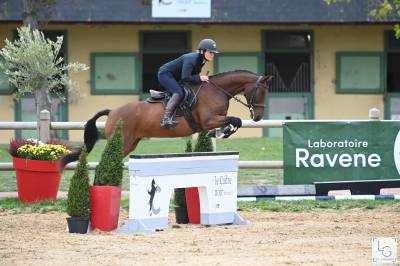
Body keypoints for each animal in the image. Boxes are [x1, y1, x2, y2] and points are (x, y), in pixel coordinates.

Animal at [61, 69, 274, 167]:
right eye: (262, 92)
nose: (258, 117)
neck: (216, 90)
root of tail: (112, 111)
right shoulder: (208, 121)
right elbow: (235, 120)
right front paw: (224, 131)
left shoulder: (214, 120)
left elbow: (234, 121)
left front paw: (223, 132)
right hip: (122, 142)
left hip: (131, 143)